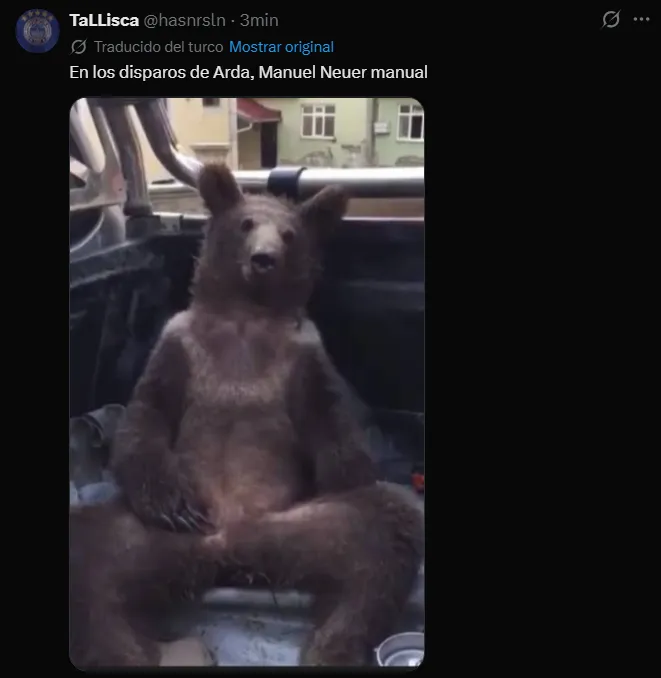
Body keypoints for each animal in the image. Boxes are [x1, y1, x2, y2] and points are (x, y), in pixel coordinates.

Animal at [99, 163, 425, 666]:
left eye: (289, 234)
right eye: (246, 223)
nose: (264, 259)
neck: (245, 318)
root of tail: (228, 556)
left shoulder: (303, 358)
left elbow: (332, 427)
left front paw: (344, 475)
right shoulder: (179, 345)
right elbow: (147, 418)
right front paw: (174, 505)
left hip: (301, 530)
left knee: (381, 543)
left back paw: (330, 648)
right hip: (148, 538)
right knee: (91, 564)